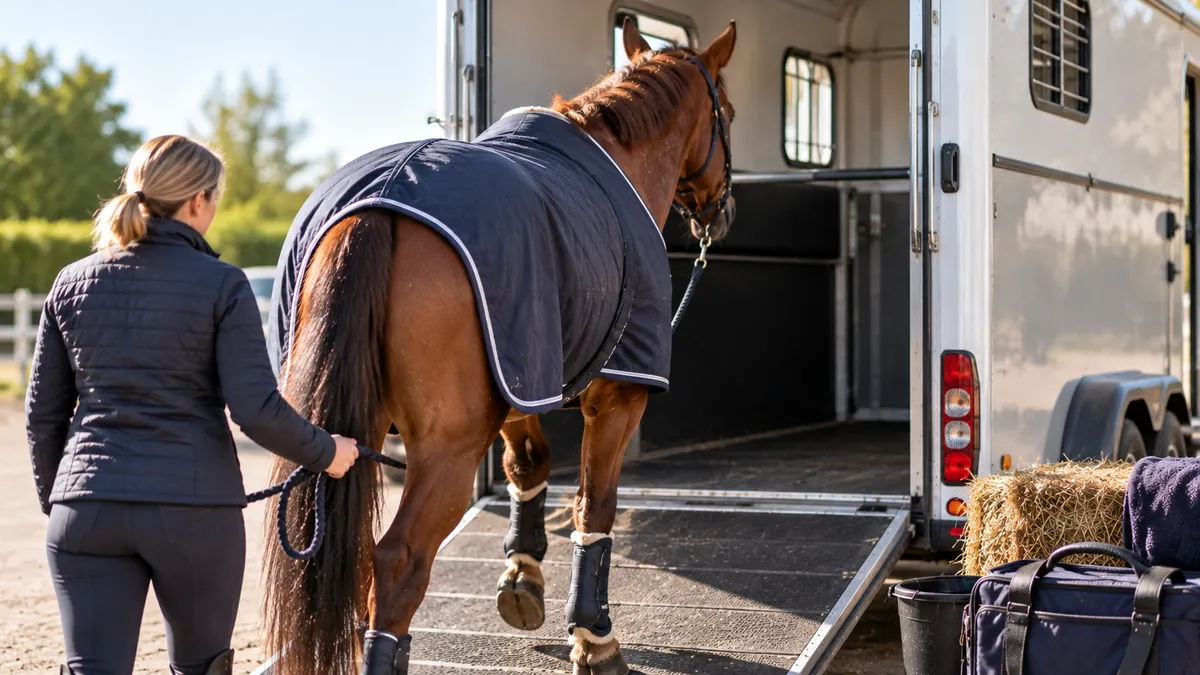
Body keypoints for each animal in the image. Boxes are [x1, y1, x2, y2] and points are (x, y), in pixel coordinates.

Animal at [260, 18, 738, 675]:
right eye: (730, 114)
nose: (725, 212)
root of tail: (375, 206)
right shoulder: (617, 397)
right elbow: (596, 506)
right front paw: (594, 638)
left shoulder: (521, 377)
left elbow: (528, 467)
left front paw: (523, 579)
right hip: (446, 450)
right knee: (398, 562)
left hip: (338, 438)